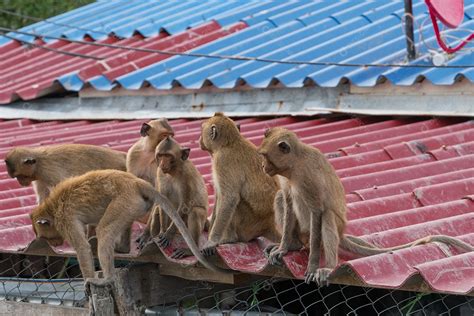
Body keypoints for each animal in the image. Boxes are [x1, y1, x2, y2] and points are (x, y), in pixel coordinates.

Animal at [29, 170, 230, 278]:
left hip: (125, 199)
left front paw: (89, 281)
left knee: (104, 230)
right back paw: (123, 249)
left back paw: (108, 278)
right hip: (133, 204)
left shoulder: (65, 218)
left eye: (44, 235)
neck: (52, 207)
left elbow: (82, 248)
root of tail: (135, 182)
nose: (54, 243)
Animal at [199, 112, 282, 256]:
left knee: (236, 203)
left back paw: (230, 238)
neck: (229, 143)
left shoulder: (222, 161)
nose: (199, 139)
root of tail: (268, 224)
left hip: (248, 225)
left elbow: (229, 198)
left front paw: (212, 241)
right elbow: (219, 196)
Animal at [260, 126, 474, 286]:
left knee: (327, 216)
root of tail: (342, 234)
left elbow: (317, 211)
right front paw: (284, 247)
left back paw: (328, 265)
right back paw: (295, 244)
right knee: (280, 197)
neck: (294, 165)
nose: (263, 166)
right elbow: (287, 200)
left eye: (265, 156)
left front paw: (312, 266)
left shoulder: (308, 177)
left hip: (332, 227)